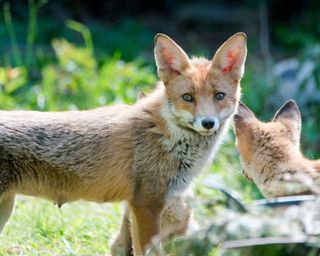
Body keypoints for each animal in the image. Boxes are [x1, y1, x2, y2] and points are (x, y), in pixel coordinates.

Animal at [0, 32, 248, 254]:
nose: (208, 123)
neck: (166, 134)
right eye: (188, 97)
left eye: (219, 96)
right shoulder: (146, 203)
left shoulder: (143, 205)